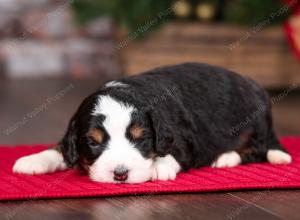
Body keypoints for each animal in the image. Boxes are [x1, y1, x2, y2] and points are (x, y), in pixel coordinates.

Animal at [12, 62, 292, 184]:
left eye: (141, 139)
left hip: (255, 124)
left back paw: (226, 157)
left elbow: (175, 152)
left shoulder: (185, 136)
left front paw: (159, 166)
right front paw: (34, 160)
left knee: (258, 149)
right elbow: (61, 147)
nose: (120, 174)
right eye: (93, 142)